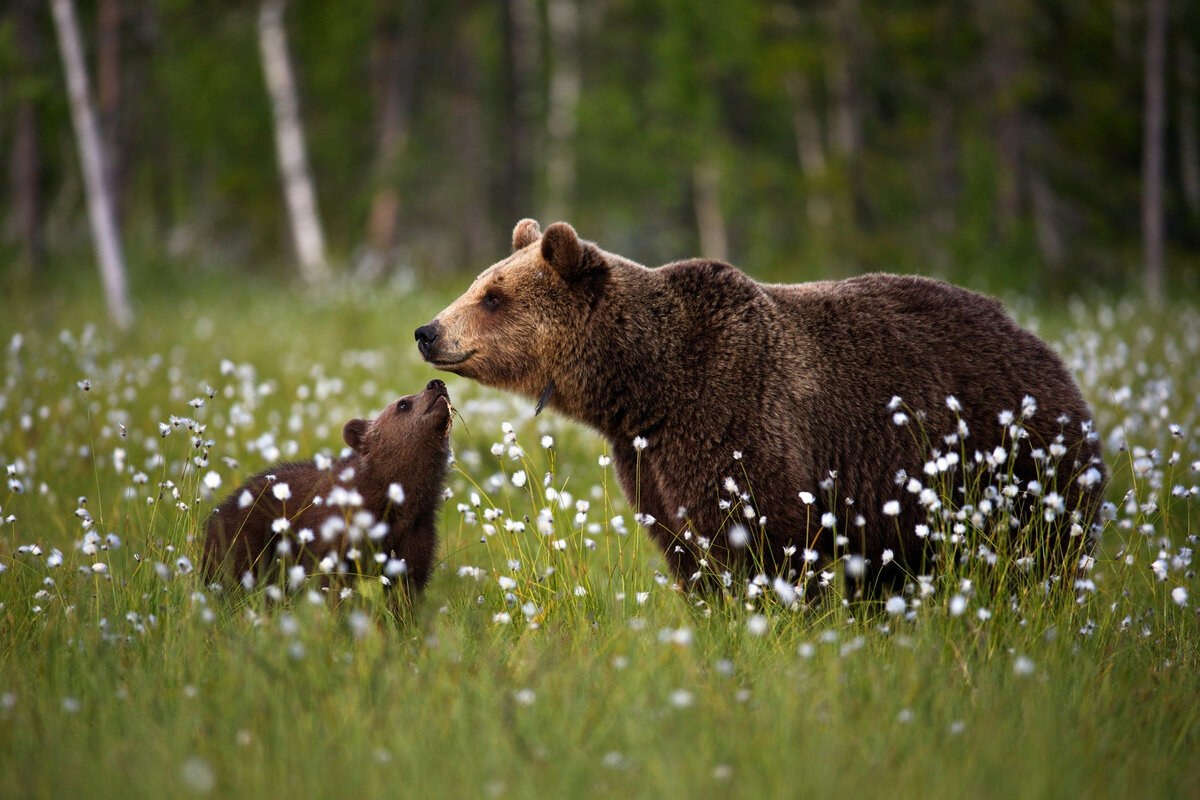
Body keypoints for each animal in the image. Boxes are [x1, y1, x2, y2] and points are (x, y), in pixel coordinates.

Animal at [415, 219, 1104, 594]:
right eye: (479, 283)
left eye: (494, 296)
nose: (428, 331)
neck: (648, 385)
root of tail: (1045, 349)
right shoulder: (648, 460)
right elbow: (685, 549)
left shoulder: (736, 416)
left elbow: (764, 536)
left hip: (1014, 462)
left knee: (1039, 552)